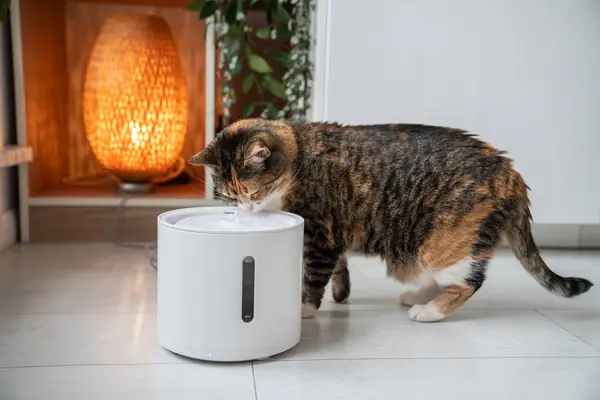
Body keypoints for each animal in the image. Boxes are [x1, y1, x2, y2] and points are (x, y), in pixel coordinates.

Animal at [190, 118, 592, 322]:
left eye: (253, 192)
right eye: (231, 198)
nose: (247, 211)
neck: (301, 154)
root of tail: (509, 170)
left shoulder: (320, 235)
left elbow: (313, 277)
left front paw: (303, 309)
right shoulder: (334, 235)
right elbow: (340, 267)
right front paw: (342, 294)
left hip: (445, 241)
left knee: (469, 281)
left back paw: (428, 311)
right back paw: (417, 294)